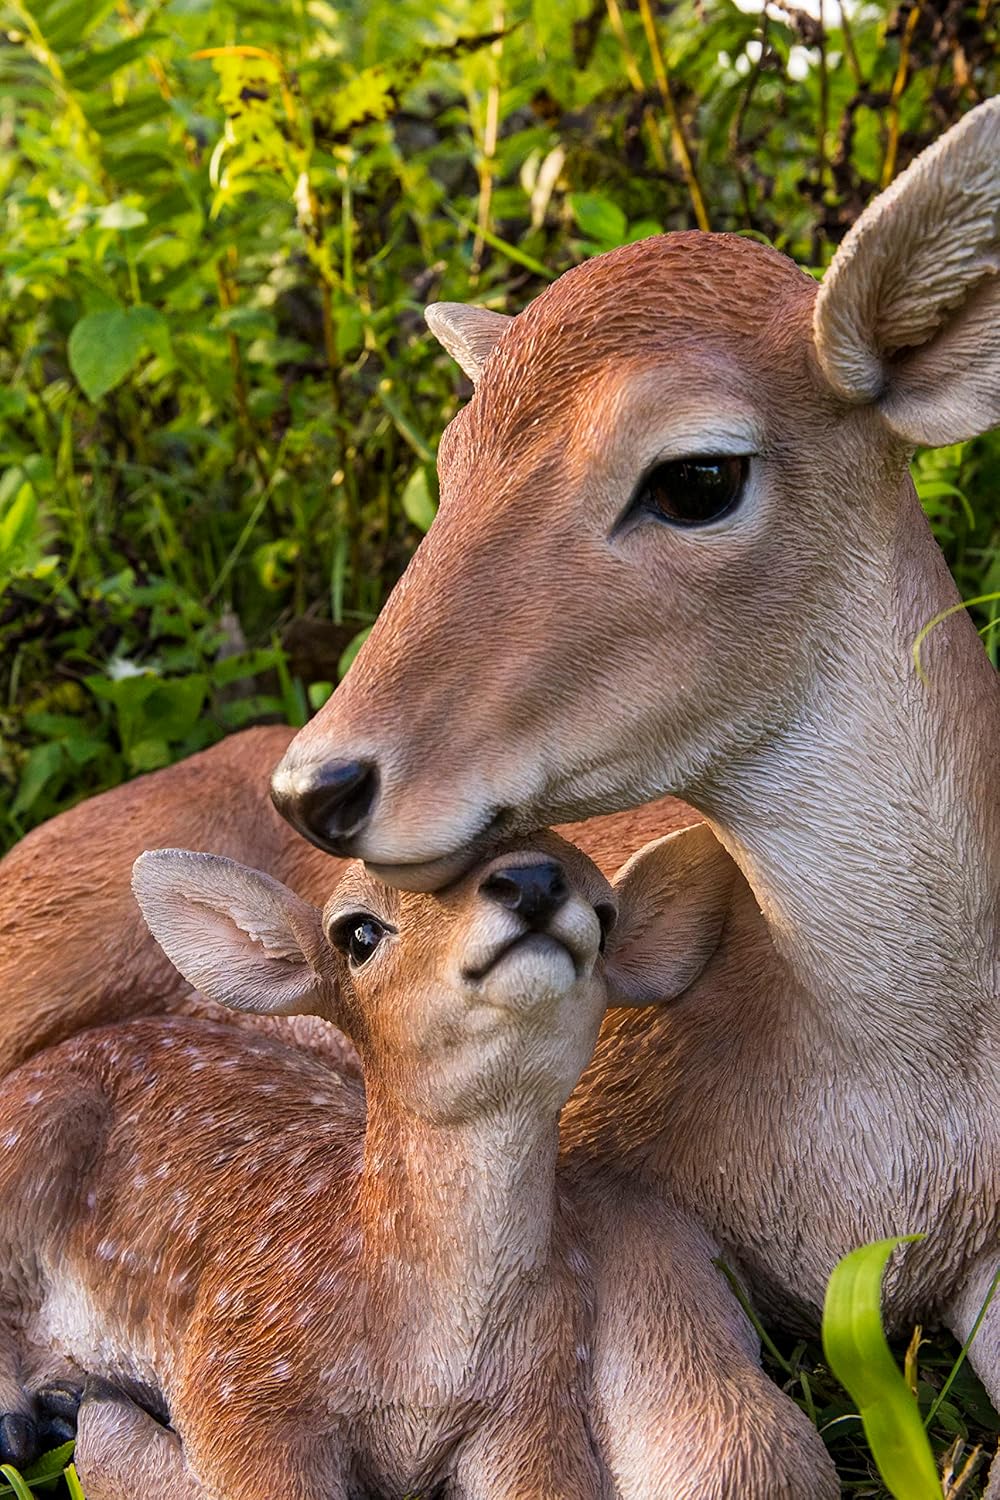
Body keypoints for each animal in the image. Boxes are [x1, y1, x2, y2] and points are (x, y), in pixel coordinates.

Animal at [0, 833, 837, 1499]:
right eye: (358, 931)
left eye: (605, 913)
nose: (532, 881)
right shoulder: (241, 1381)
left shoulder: (533, 1403)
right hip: (32, 1132)